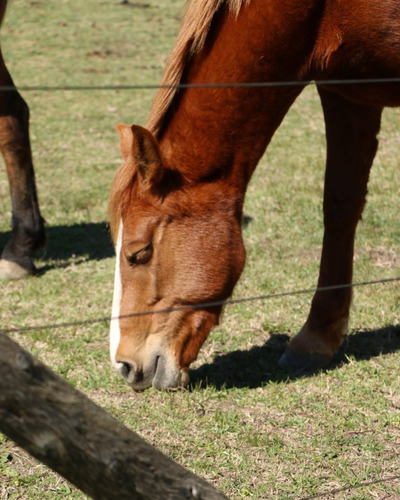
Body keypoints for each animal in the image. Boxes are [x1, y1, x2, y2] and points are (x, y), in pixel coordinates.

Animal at [108, 0, 400, 390]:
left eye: (139, 253)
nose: (124, 365)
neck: (323, 11)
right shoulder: (345, 92)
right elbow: (340, 205)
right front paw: (315, 339)